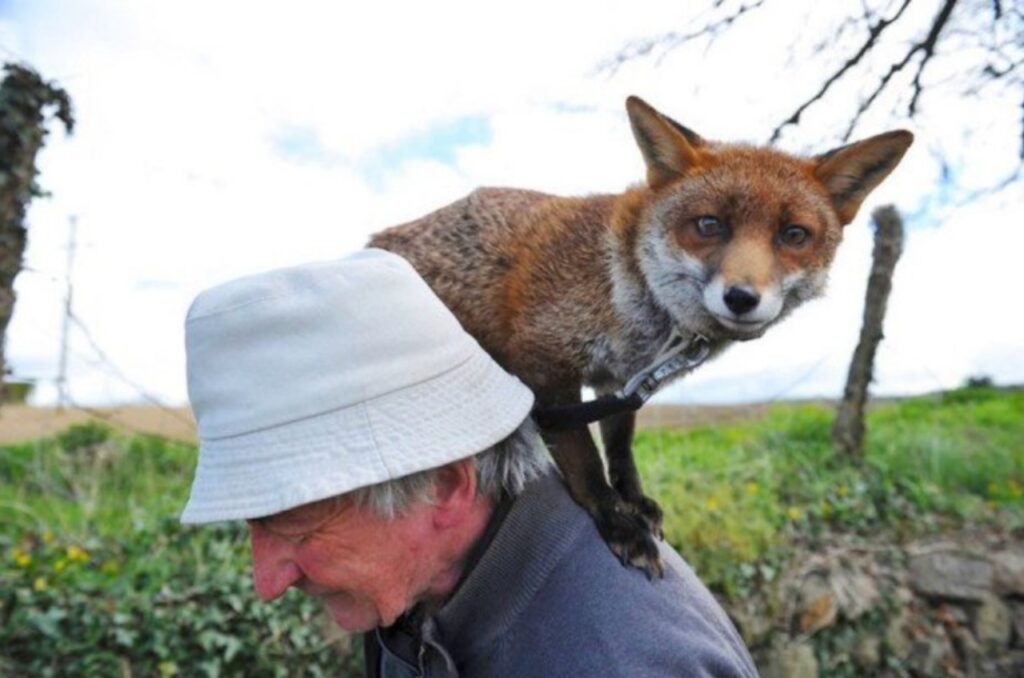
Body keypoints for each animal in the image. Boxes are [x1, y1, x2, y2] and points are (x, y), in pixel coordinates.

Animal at [368, 94, 913, 573]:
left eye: (794, 235)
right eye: (709, 225)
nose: (742, 298)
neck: (626, 285)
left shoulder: (621, 379)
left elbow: (620, 447)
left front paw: (634, 500)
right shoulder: (544, 360)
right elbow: (584, 459)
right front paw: (617, 521)